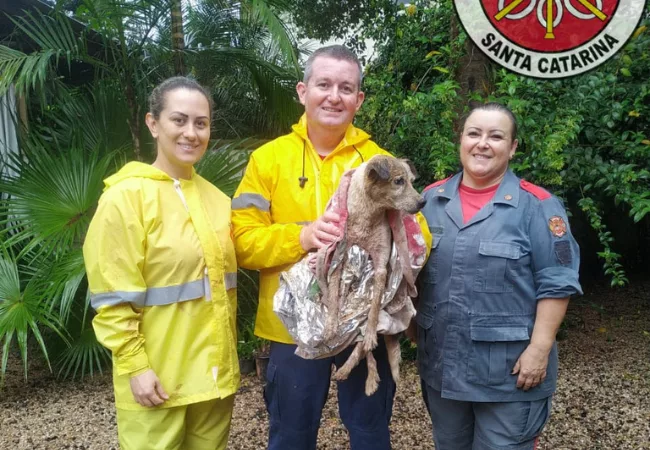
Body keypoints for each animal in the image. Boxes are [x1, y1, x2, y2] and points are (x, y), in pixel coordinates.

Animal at [316, 156, 422, 396]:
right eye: (399, 181)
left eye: (412, 181)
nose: (423, 203)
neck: (368, 214)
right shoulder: (339, 258)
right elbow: (333, 295)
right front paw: (330, 326)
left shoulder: (381, 266)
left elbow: (373, 310)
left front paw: (372, 335)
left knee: (362, 346)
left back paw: (352, 371)